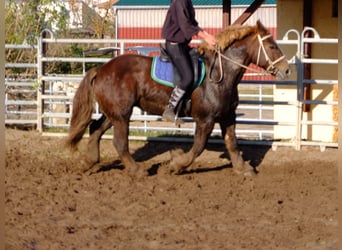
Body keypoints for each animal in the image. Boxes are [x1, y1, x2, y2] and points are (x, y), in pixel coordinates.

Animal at [67, 21, 292, 178]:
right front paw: (176, 165)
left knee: (95, 129)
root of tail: (102, 69)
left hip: (112, 113)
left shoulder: (227, 117)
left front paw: (243, 168)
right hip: (122, 115)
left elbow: (233, 144)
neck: (221, 73)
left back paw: (89, 162)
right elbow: (198, 147)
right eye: (272, 46)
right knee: (119, 142)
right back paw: (136, 170)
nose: (287, 69)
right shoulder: (206, 120)